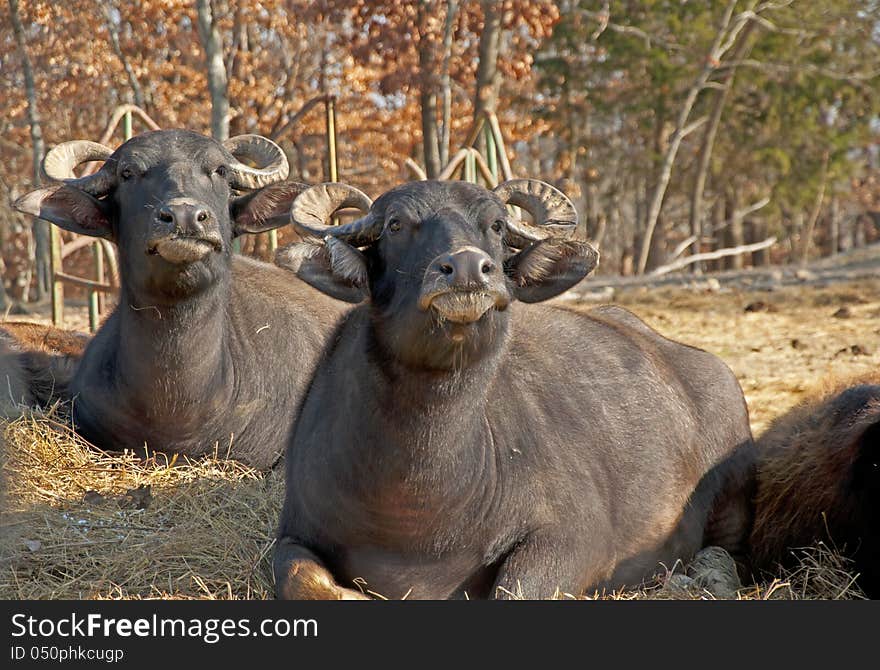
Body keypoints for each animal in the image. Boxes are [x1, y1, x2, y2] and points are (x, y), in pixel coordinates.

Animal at [272, 180, 752, 604]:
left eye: (498, 226)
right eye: (395, 224)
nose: (468, 267)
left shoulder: (575, 540)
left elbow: (515, 591)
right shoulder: (294, 531)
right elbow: (300, 579)